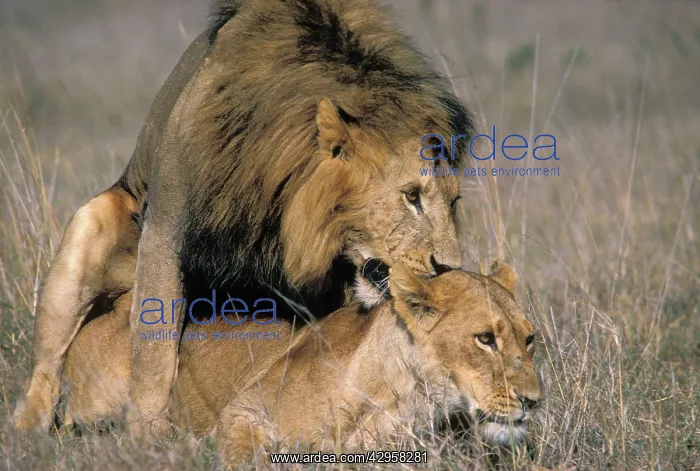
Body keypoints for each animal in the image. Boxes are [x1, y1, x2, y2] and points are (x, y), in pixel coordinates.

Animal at [15, 0, 475, 436]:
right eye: (411, 196)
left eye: (454, 202)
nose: (449, 267)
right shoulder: (165, 232)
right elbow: (153, 349)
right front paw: (147, 436)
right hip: (90, 225)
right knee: (46, 372)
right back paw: (30, 431)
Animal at [60, 261, 542, 464]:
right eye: (485, 339)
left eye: (530, 339)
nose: (535, 401)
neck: (404, 397)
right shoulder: (243, 407)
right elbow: (246, 454)